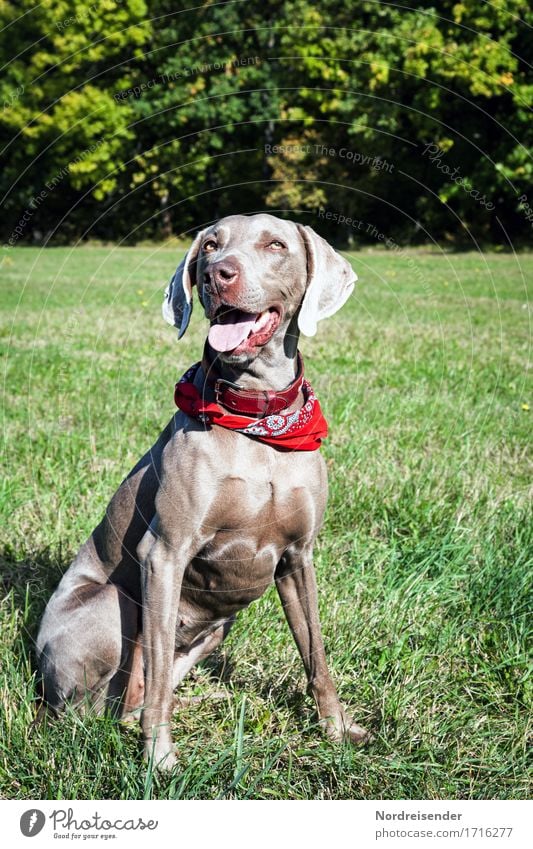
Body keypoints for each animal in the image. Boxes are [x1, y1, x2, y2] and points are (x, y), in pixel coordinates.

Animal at [36, 214, 370, 768]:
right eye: (211, 245)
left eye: (275, 244)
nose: (217, 274)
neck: (257, 419)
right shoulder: (165, 552)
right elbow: (155, 685)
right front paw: (160, 759)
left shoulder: (298, 557)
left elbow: (316, 654)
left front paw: (339, 730)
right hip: (114, 604)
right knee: (98, 704)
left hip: (216, 630)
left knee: (135, 696)